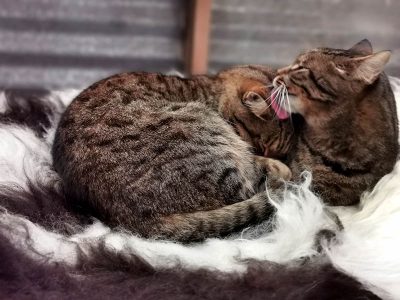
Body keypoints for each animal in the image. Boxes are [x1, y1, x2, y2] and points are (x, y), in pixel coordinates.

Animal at [52, 65, 294, 241]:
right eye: (262, 145)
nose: (269, 154)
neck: (210, 88)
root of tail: (131, 220)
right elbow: (264, 166)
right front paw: (281, 167)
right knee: (249, 187)